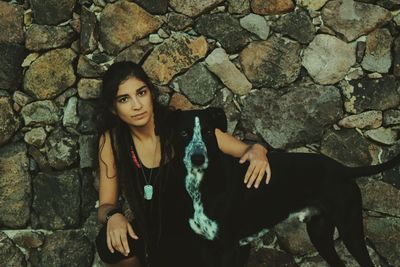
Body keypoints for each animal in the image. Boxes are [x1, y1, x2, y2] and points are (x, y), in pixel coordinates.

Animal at [170, 108, 400, 266]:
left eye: (209, 132)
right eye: (183, 133)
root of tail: (343, 169)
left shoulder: (227, 248)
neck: (202, 183)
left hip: (350, 230)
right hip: (320, 233)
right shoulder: (206, 247)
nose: (197, 158)